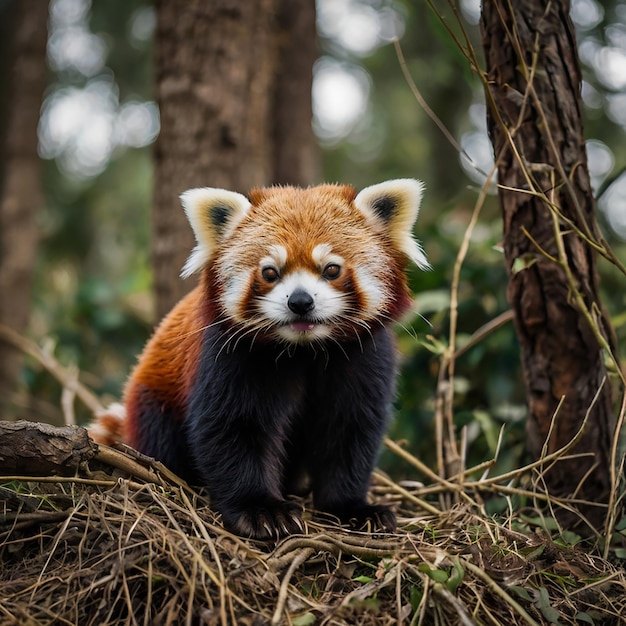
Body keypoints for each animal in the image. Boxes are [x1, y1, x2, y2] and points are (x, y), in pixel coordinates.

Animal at [90, 179, 426, 536]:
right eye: (270, 272)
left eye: (332, 269)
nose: (300, 302)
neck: (304, 349)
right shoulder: (232, 355)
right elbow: (236, 427)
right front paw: (261, 509)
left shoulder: (363, 357)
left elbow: (348, 429)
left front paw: (351, 507)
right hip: (154, 400)